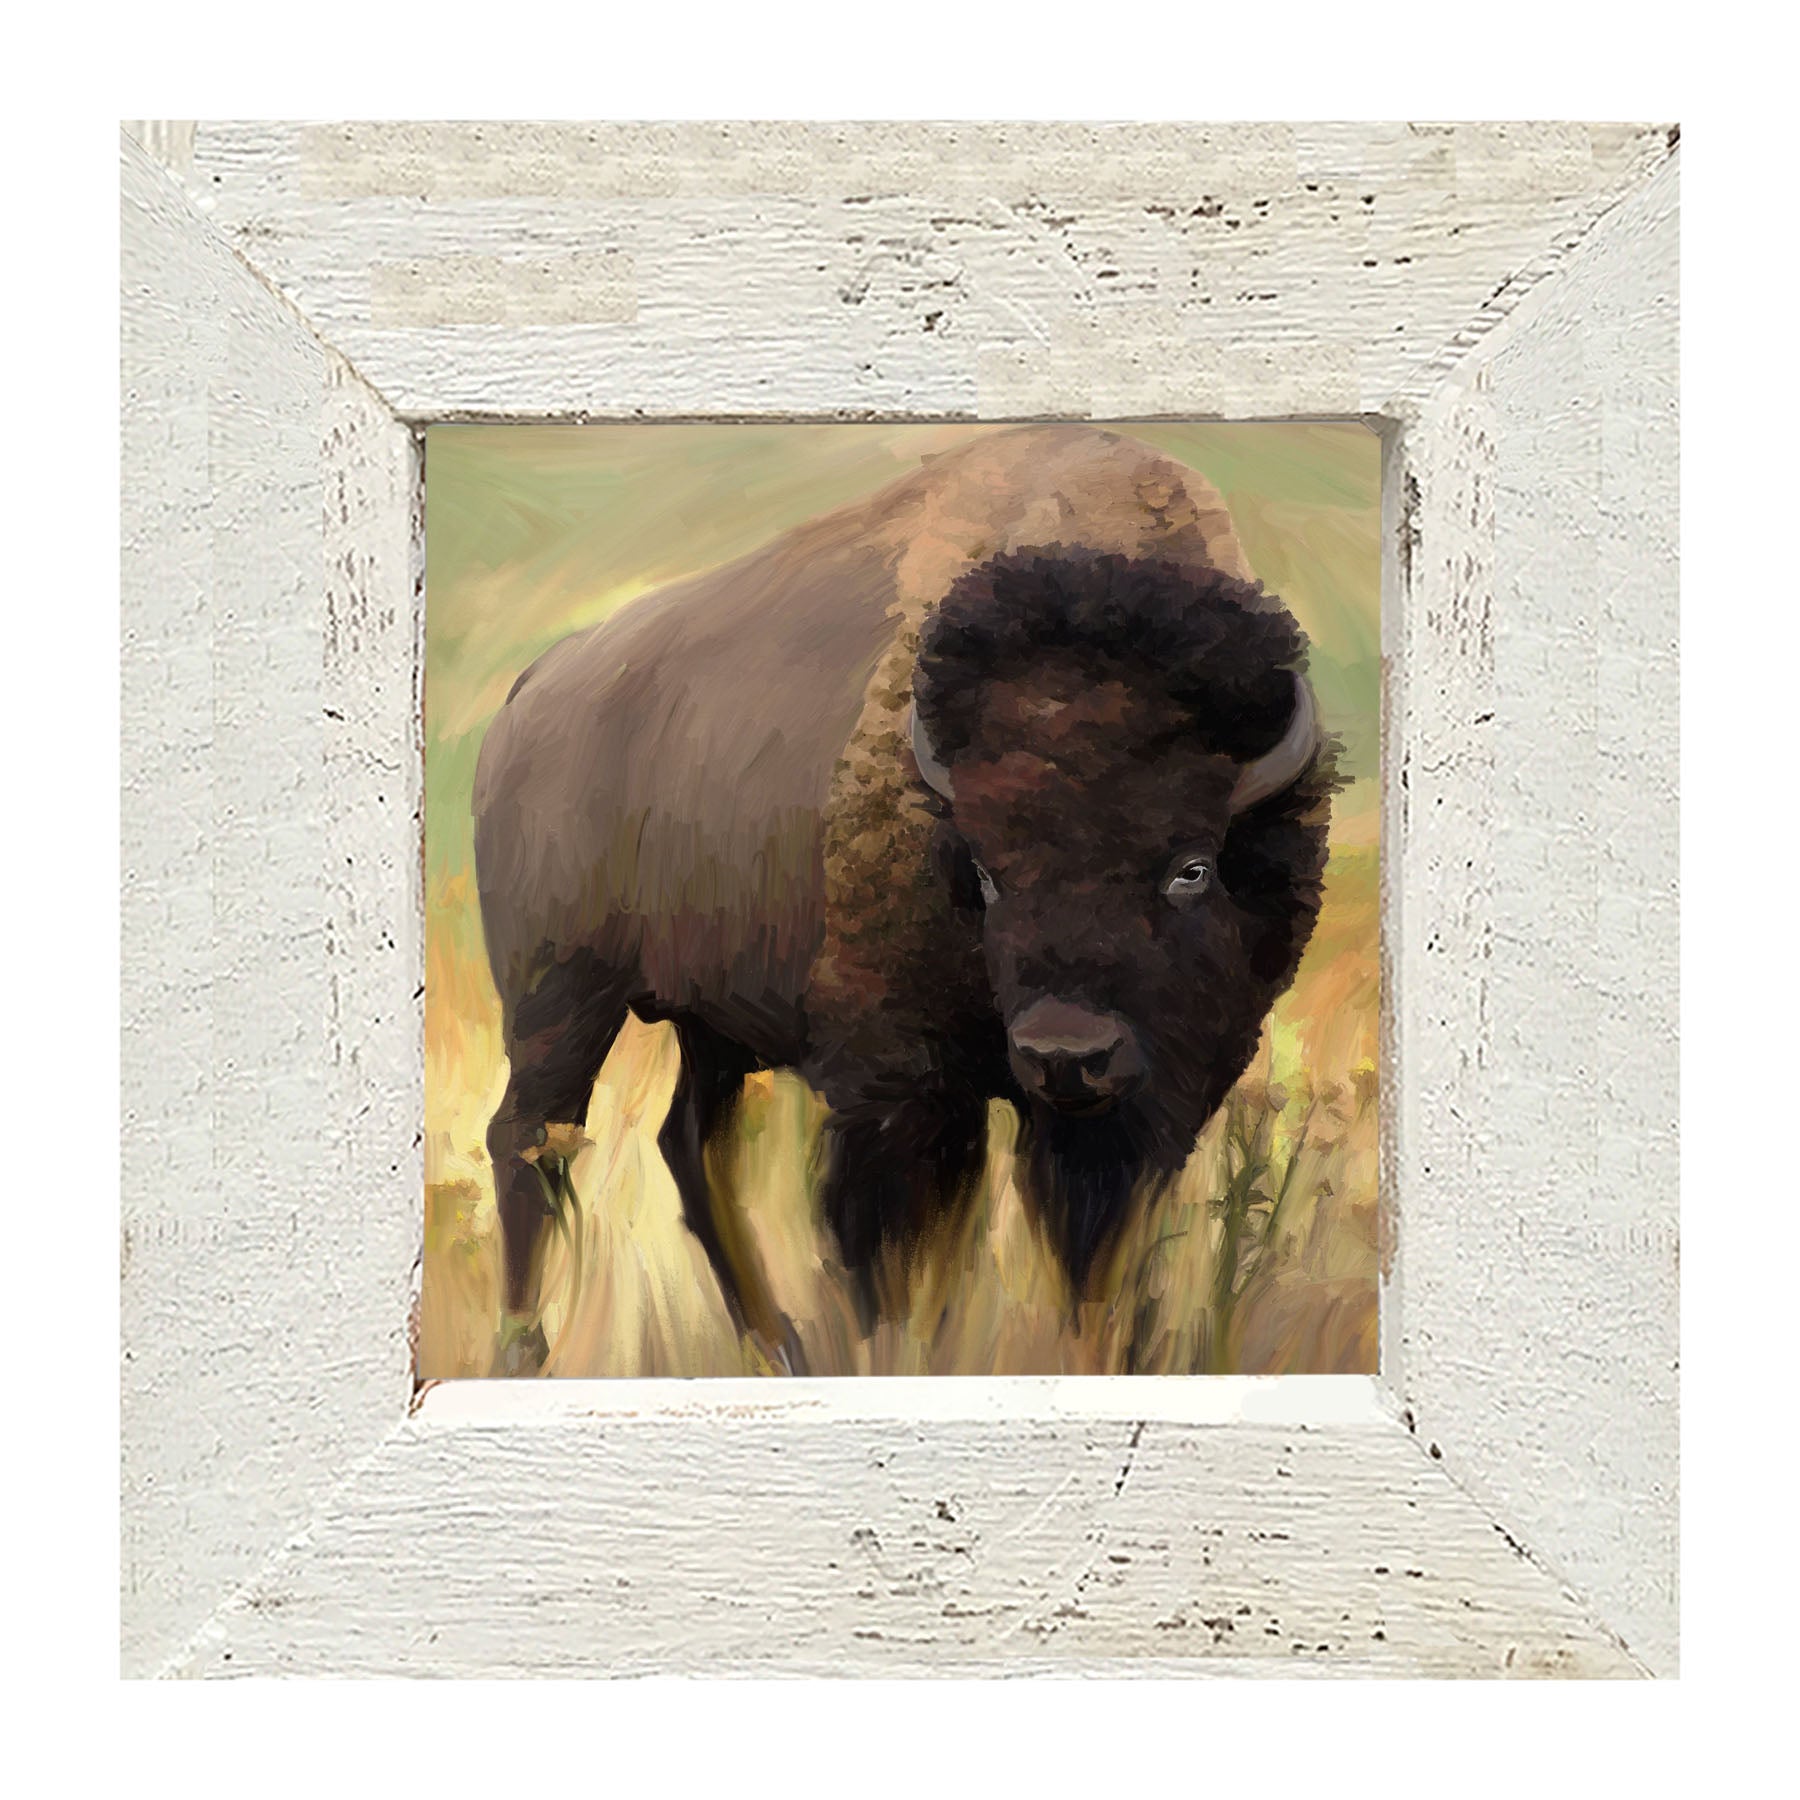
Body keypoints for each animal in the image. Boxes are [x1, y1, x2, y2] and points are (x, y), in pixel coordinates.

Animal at [472, 424, 1333, 1365]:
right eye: (987, 872)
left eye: (1191, 867)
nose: (1065, 1053)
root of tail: (531, 693)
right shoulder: (898, 1093)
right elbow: (891, 1256)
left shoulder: (1133, 1111)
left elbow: (1089, 1259)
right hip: (559, 998)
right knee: (530, 1142)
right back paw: (525, 1349)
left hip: (710, 1024)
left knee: (689, 1145)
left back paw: (775, 1345)